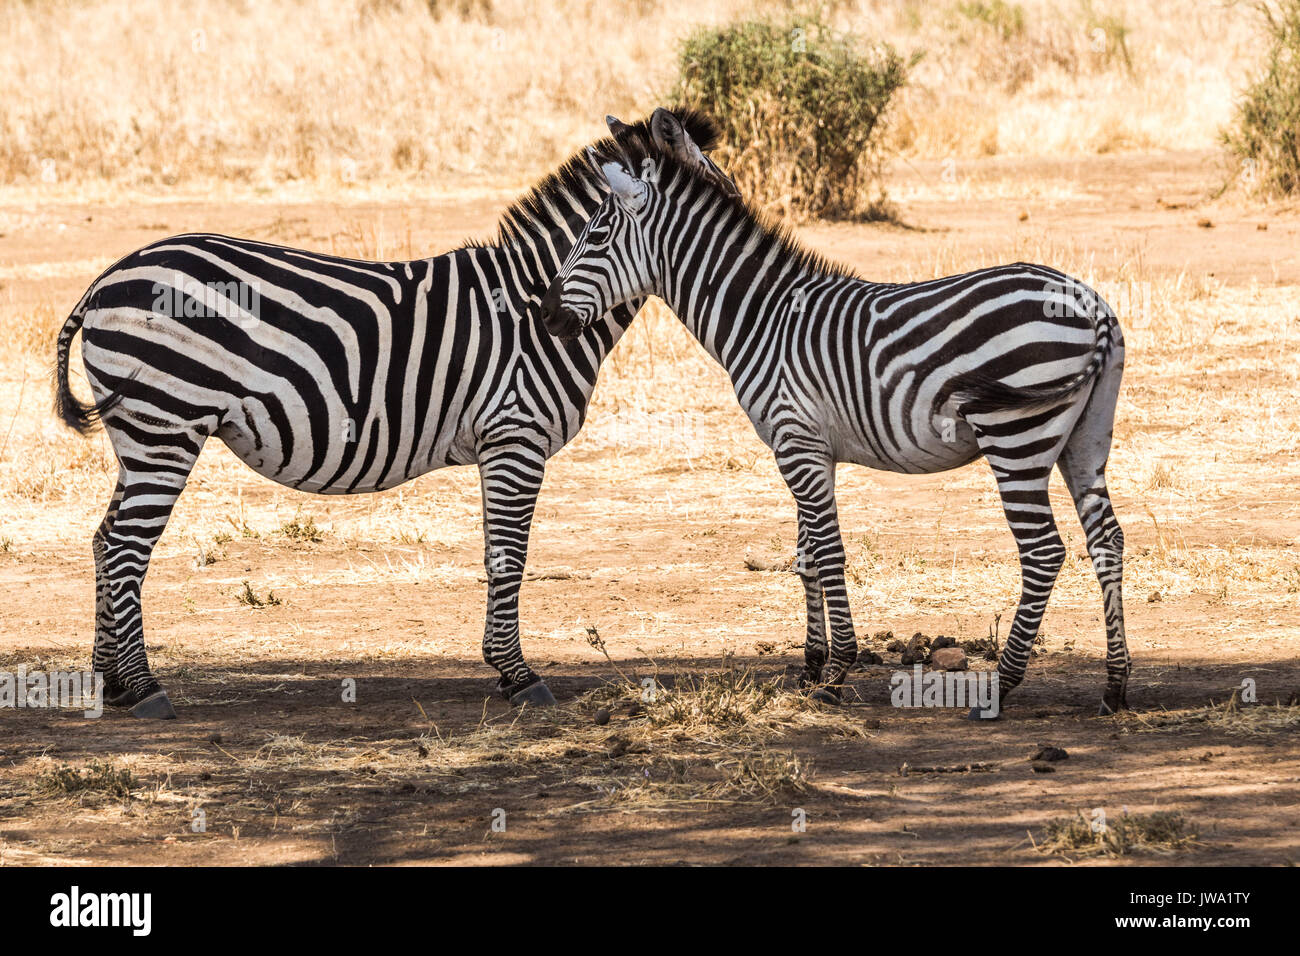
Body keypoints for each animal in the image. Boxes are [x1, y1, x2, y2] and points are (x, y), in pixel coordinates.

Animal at [53, 106, 743, 717]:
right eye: (716, 182)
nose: (745, 245)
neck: (531, 309)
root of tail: (106, 278)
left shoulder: (498, 446)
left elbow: (497, 552)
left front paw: (503, 669)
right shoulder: (515, 437)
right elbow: (509, 558)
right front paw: (519, 677)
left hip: (138, 435)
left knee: (102, 539)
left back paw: (111, 683)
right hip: (166, 427)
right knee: (125, 548)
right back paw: (145, 690)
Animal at [538, 115, 1128, 712]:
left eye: (596, 237)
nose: (545, 317)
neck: (763, 317)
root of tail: (1093, 306)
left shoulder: (796, 441)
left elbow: (827, 551)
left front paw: (838, 669)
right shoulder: (805, 447)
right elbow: (806, 555)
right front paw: (811, 666)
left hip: (1015, 436)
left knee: (1043, 551)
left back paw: (1003, 683)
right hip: (1085, 438)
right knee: (1106, 541)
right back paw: (1115, 685)